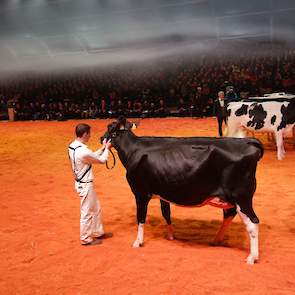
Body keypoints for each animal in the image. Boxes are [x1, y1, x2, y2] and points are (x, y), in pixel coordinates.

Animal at [102, 117, 264, 264]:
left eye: (111, 130)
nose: (101, 138)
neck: (133, 149)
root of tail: (248, 142)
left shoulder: (140, 192)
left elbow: (140, 218)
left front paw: (138, 242)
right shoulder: (163, 192)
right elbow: (166, 214)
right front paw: (171, 236)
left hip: (241, 197)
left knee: (253, 223)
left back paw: (251, 257)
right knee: (230, 215)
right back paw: (216, 240)